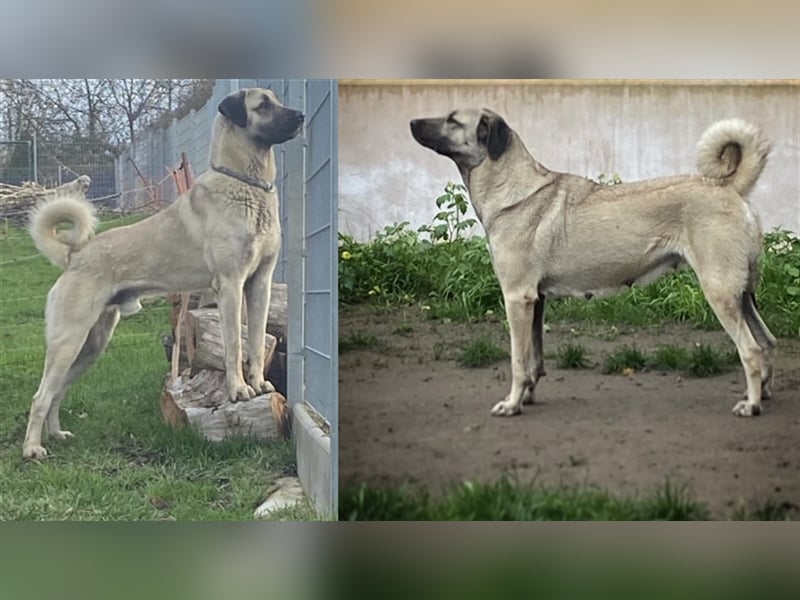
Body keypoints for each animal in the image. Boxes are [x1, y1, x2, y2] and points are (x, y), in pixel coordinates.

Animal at [22, 86, 304, 458]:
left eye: (276, 100)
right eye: (262, 106)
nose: (301, 116)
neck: (246, 184)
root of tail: (75, 254)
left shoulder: (260, 284)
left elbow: (256, 343)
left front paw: (257, 383)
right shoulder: (230, 286)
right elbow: (233, 346)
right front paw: (238, 390)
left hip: (91, 344)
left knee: (57, 392)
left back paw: (55, 434)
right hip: (69, 340)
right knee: (41, 395)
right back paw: (32, 449)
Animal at [412, 109, 776, 418]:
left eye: (453, 120)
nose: (413, 122)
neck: (513, 188)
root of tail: (726, 186)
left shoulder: (517, 298)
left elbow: (518, 361)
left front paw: (512, 404)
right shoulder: (536, 300)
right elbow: (534, 360)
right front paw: (527, 396)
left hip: (719, 292)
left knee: (750, 349)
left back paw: (752, 405)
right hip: (741, 295)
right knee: (767, 342)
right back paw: (761, 394)